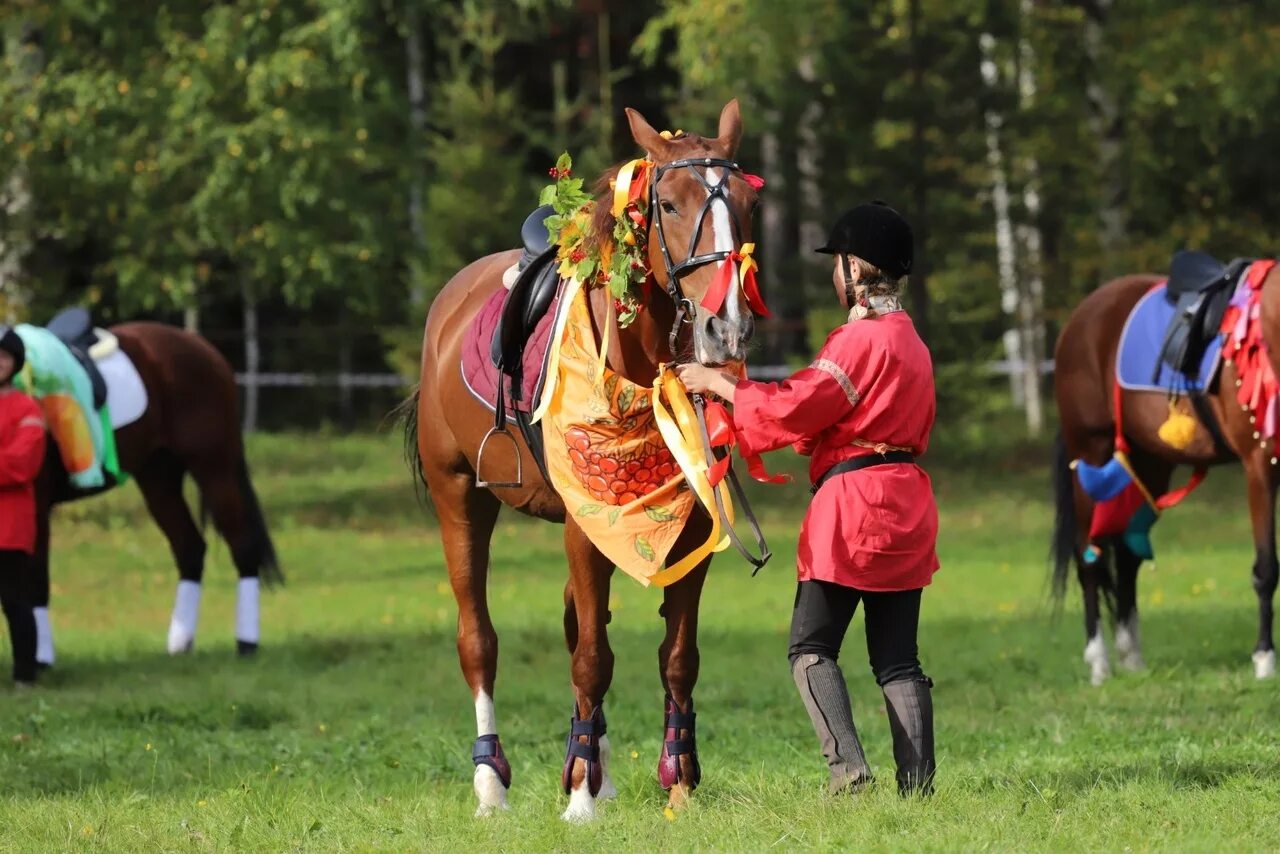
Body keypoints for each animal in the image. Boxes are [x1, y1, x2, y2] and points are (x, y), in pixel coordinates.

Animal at [16, 313, 280, 665]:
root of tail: (202, 348)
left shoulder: (36, 506)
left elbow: (35, 583)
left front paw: (40, 660)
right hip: (158, 478)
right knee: (190, 548)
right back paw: (180, 644)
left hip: (214, 468)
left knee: (242, 545)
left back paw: (246, 643)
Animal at [404, 100, 773, 819]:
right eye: (668, 202)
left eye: (746, 204)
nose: (727, 326)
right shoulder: (582, 522)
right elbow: (592, 659)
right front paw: (579, 799)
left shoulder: (690, 524)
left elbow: (675, 657)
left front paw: (677, 783)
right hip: (459, 495)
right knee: (479, 639)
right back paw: (493, 785)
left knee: (580, 625)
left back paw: (593, 760)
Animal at [1049, 256, 1280, 686]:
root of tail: (1082, 316)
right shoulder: (1259, 464)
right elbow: (1266, 567)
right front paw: (1264, 658)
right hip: (1090, 456)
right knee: (1090, 557)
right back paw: (1099, 663)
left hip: (1150, 464)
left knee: (1126, 556)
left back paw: (1132, 658)